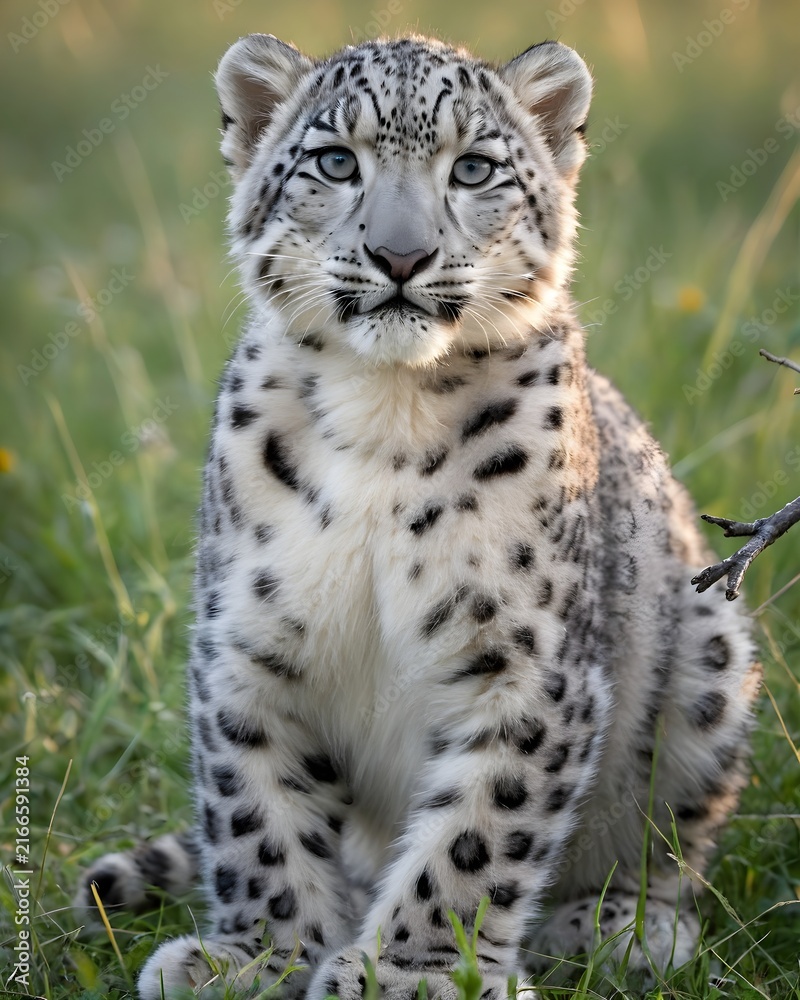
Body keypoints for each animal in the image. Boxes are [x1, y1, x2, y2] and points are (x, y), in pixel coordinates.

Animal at [77, 33, 761, 1000]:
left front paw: (414, 972)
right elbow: (256, 810)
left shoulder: (526, 659)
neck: (386, 413)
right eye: (335, 160)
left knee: (674, 844)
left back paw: (619, 929)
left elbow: (475, 831)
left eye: (473, 168)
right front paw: (262, 957)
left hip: (709, 656)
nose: (400, 256)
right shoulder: (245, 642)